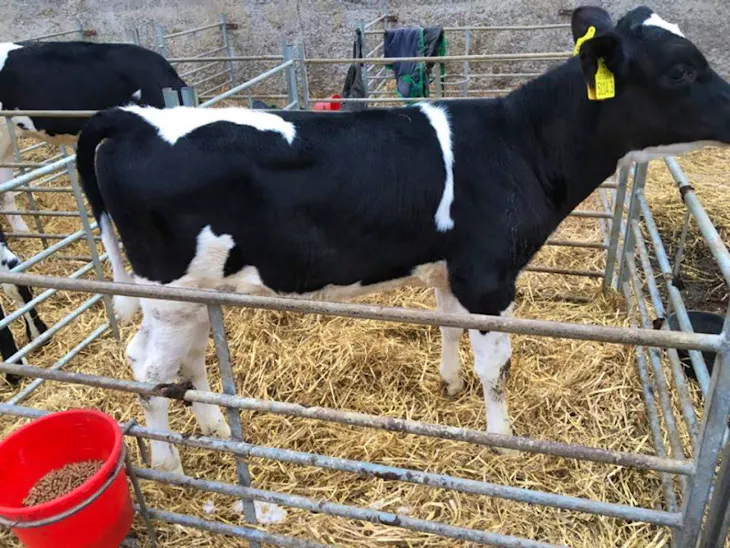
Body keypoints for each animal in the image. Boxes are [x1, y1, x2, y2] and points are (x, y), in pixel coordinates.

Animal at [76, 6, 730, 474]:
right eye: (681, 70)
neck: (517, 144)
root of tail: (135, 119)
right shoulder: (488, 277)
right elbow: (498, 367)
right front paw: (505, 442)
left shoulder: (451, 269)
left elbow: (448, 327)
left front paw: (449, 384)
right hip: (168, 285)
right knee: (143, 364)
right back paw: (170, 464)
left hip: (195, 289)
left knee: (183, 357)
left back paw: (214, 427)